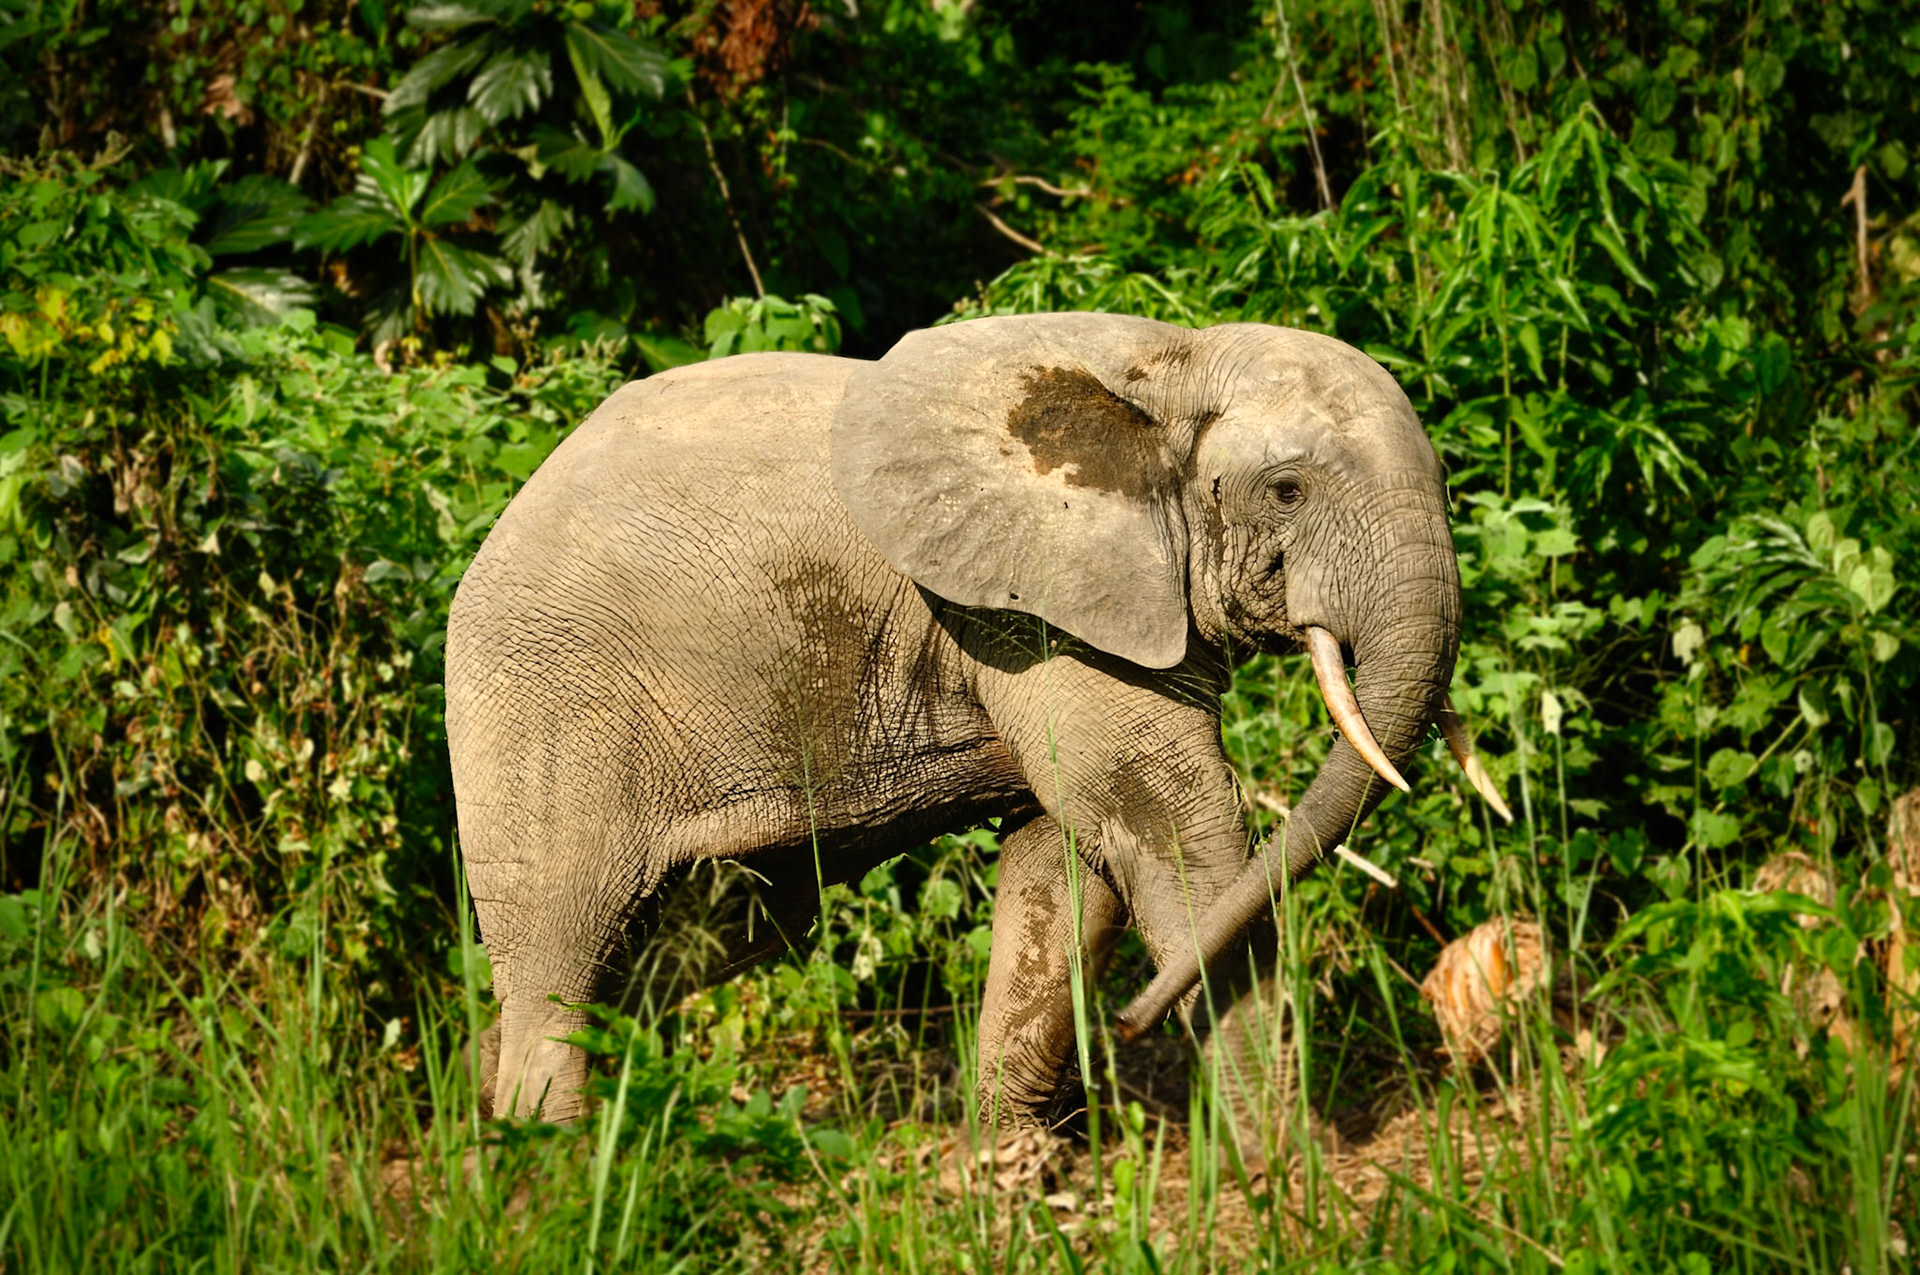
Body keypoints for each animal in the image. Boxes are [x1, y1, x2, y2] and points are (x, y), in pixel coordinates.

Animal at [446, 312, 1505, 1126]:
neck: (1171, 359)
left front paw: (1010, 1168)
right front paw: (1289, 1181)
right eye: (1288, 489)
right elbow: (1172, 821)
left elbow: (1066, 860)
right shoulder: (1031, 607)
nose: (1131, 1025)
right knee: (565, 952)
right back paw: (553, 1171)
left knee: (669, 949)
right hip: (546, 705)